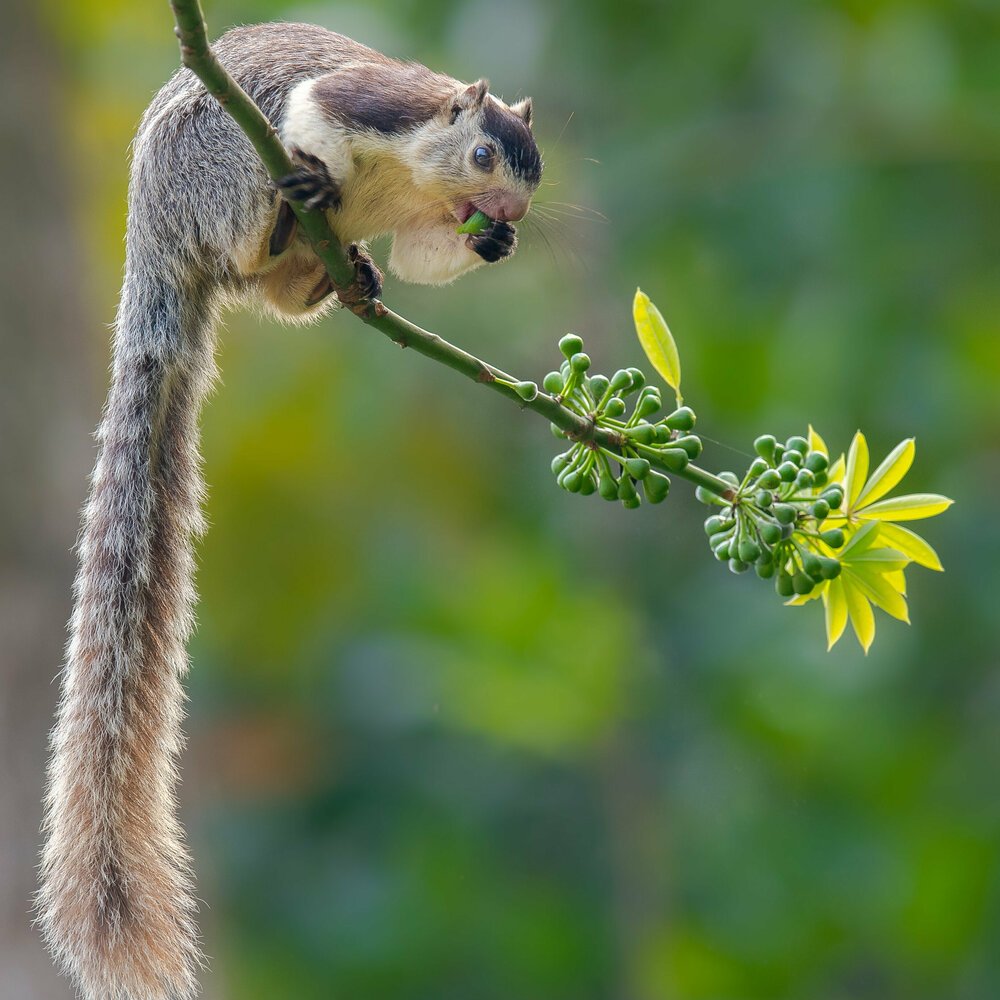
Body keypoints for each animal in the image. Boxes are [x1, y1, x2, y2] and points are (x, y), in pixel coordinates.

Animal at [37, 21, 541, 1000]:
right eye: (482, 152)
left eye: (533, 175)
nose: (509, 209)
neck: (414, 182)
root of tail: (153, 237)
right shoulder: (368, 104)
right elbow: (320, 108)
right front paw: (322, 171)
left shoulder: (426, 225)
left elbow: (429, 254)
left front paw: (487, 244)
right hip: (220, 168)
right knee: (250, 229)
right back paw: (296, 202)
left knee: (280, 286)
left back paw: (350, 276)